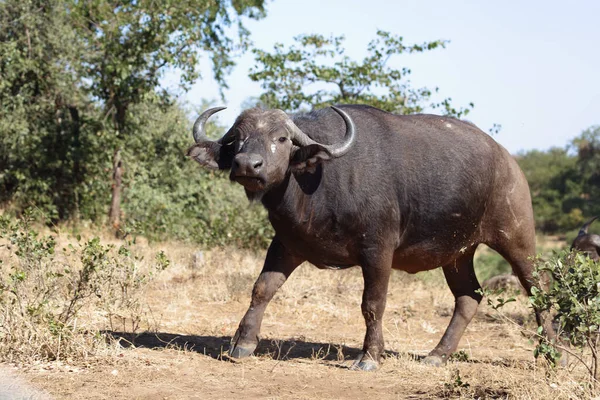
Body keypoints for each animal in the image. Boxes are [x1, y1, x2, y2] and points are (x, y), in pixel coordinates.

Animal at [186, 104, 556, 370]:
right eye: (238, 139)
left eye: (282, 139)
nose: (247, 165)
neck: (320, 178)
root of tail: (509, 162)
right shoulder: (287, 244)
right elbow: (262, 288)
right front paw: (242, 343)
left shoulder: (378, 250)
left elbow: (372, 304)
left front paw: (369, 357)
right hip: (458, 252)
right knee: (468, 297)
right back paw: (437, 355)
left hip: (516, 236)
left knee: (538, 288)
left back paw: (556, 353)